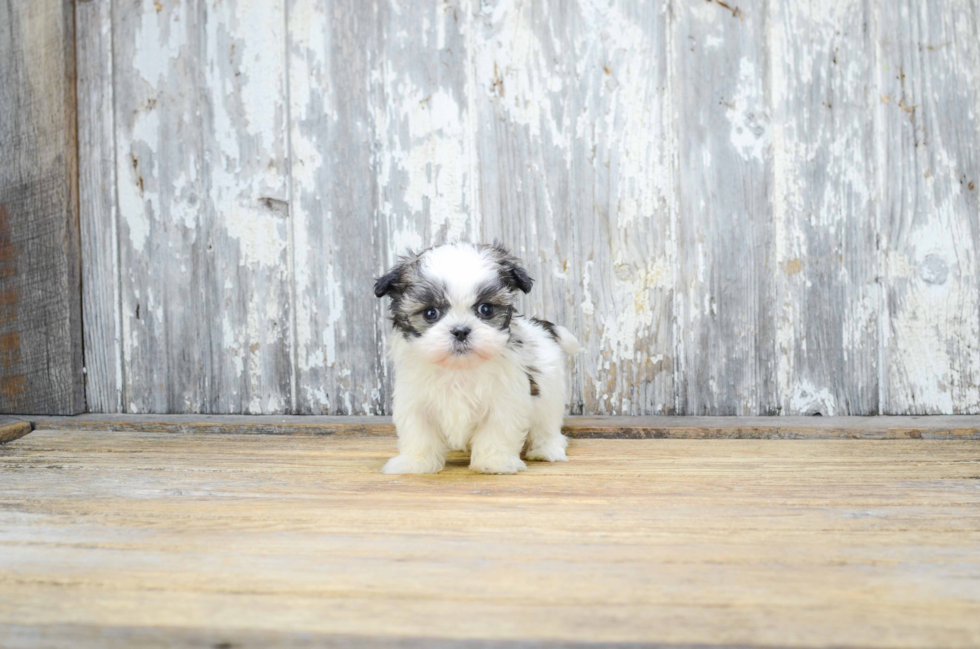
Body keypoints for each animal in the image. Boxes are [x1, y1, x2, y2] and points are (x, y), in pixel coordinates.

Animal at [372, 240, 580, 474]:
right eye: (430, 313)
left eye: (486, 309)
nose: (461, 331)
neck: (459, 369)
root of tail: (540, 326)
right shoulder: (415, 402)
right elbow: (418, 433)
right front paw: (415, 463)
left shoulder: (505, 401)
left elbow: (497, 431)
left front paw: (494, 462)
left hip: (550, 395)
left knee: (547, 426)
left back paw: (547, 450)